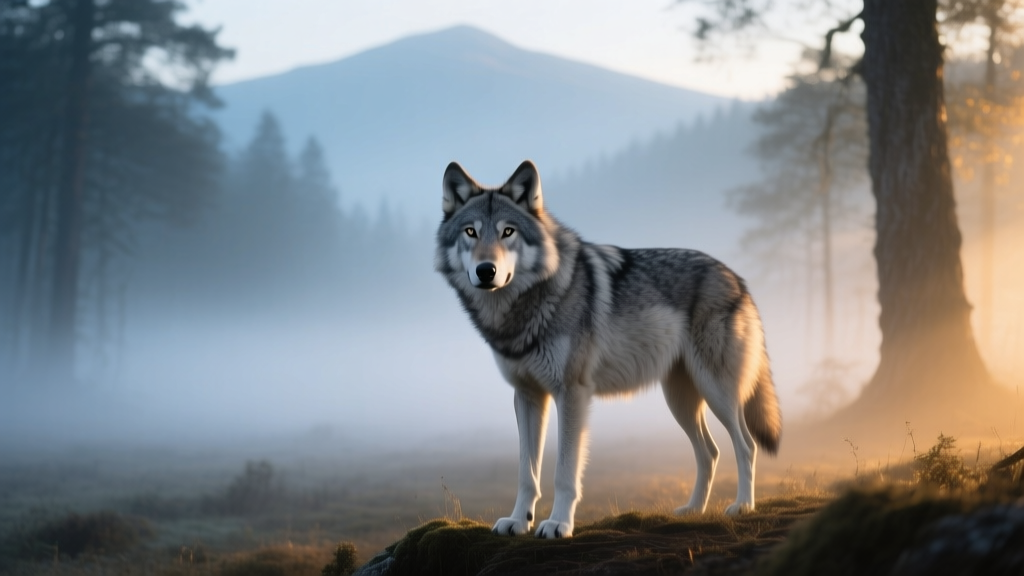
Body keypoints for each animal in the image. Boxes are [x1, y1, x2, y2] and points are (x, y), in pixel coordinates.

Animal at [435, 160, 781, 539]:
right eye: (470, 232)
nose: (486, 270)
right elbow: (527, 473)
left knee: (745, 446)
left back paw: (742, 506)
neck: (526, 307)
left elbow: (564, 471)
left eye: (507, 232)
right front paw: (518, 520)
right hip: (680, 400)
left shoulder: (572, 393)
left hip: (716, 392)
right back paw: (693, 510)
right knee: (710, 453)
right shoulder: (526, 396)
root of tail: (737, 278)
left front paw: (558, 523)